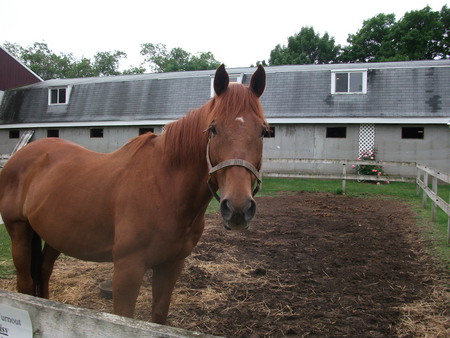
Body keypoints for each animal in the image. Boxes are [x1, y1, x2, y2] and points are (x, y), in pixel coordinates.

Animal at [0, 64, 268, 324]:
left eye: (263, 131)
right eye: (213, 129)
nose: (238, 208)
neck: (165, 188)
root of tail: (20, 156)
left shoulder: (171, 265)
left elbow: (158, 317)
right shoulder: (128, 268)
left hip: (55, 234)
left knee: (43, 273)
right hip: (19, 231)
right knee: (25, 283)